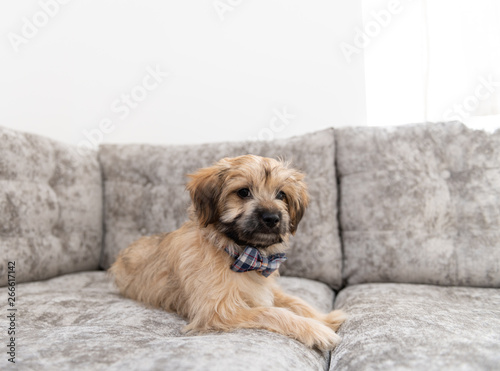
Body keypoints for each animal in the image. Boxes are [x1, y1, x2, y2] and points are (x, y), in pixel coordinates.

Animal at [109, 155, 344, 352]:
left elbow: (295, 301)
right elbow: (272, 312)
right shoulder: (220, 310)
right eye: (243, 192)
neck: (239, 252)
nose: (272, 217)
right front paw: (315, 329)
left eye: (281, 194)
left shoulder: (264, 290)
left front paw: (324, 317)